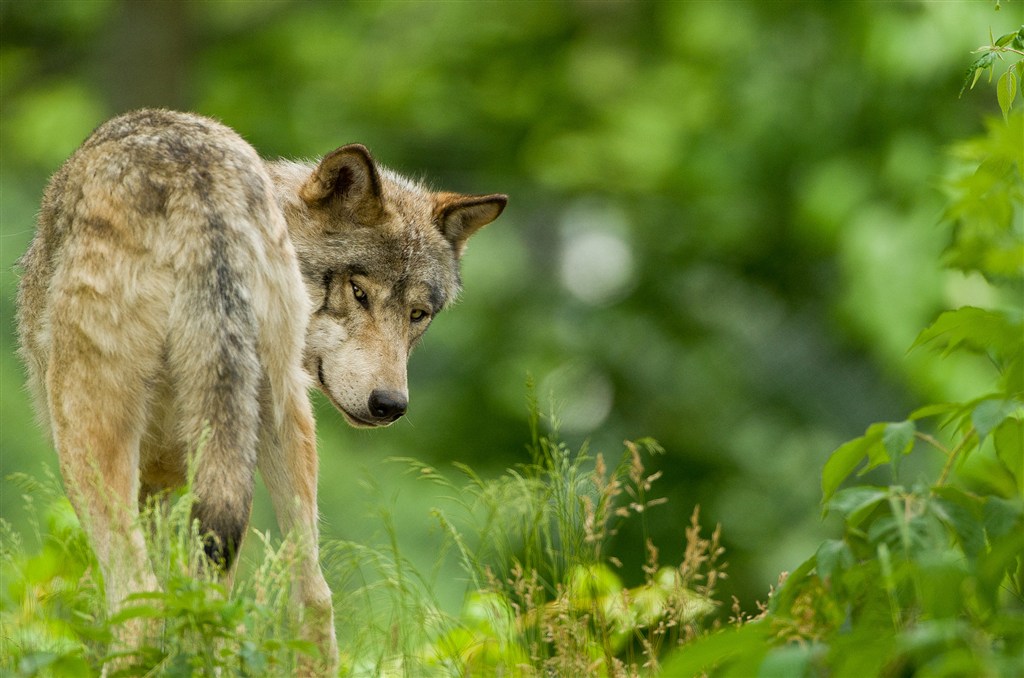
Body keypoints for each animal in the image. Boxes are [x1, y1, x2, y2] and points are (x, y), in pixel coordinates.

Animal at [14, 107, 507, 675]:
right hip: (277, 413)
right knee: (308, 597)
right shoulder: (175, 482)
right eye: (358, 292)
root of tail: (200, 187)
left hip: (89, 439)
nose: (390, 405)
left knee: (140, 605)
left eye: (418, 314)